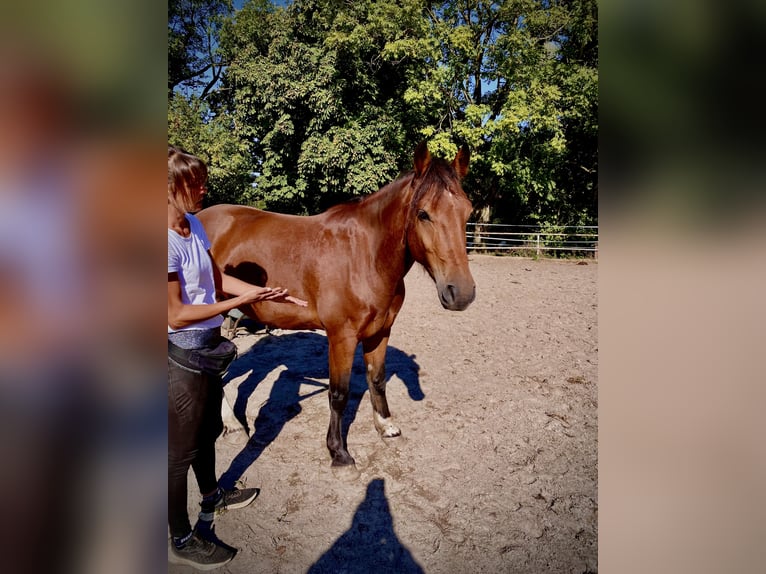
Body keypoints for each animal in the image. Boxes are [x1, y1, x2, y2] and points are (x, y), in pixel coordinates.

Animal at [198, 142, 474, 470]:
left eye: (468, 212)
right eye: (423, 214)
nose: (461, 293)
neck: (365, 256)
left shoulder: (380, 331)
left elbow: (376, 378)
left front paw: (385, 425)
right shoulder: (342, 336)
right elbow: (339, 393)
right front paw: (338, 452)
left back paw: (233, 424)